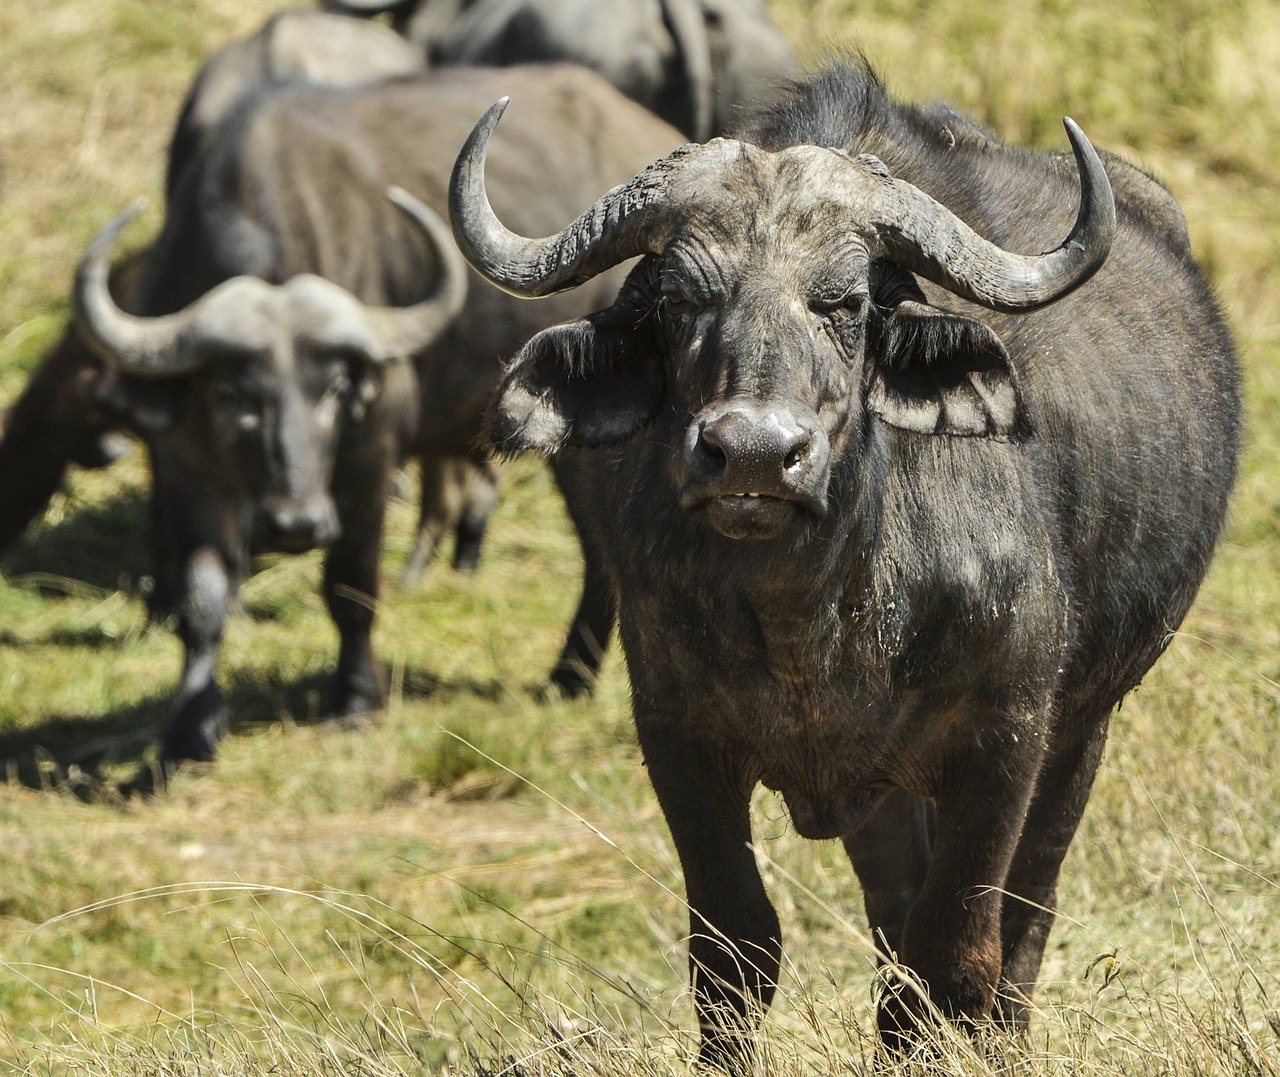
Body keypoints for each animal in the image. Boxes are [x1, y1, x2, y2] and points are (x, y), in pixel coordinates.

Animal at [74, 64, 686, 763]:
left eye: (336, 388)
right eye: (233, 396)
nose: (298, 524)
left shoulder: (368, 461)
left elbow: (351, 585)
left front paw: (355, 700)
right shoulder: (186, 465)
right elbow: (201, 598)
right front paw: (190, 727)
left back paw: (570, 674)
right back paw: (570, 676)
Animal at [448, 63, 1239, 1065]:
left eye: (847, 304)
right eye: (679, 302)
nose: (753, 454)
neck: (812, 617)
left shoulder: (1004, 738)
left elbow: (960, 947)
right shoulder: (677, 734)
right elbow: (737, 949)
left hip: (1085, 724)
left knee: (1025, 915)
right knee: (894, 920)